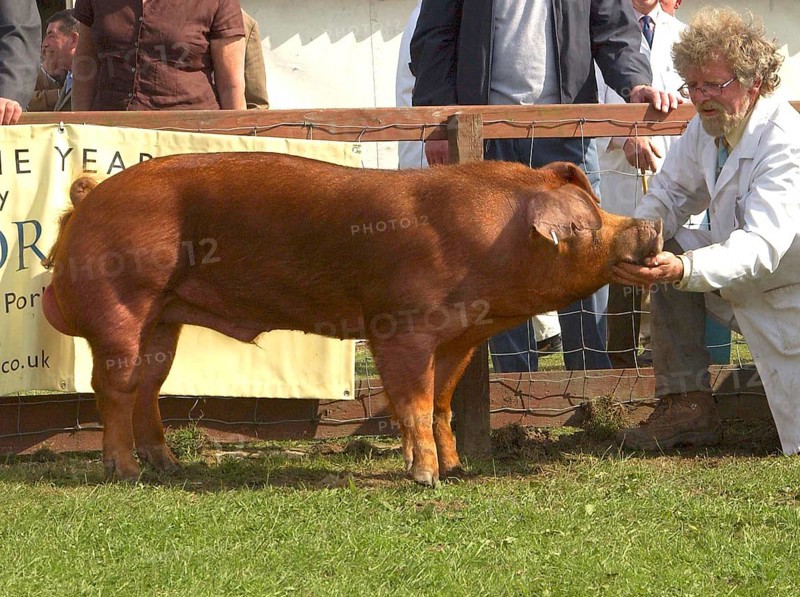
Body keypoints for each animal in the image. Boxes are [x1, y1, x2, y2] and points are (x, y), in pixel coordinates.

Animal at [42, 153, 662, 485]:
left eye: (599, 209)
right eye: (584, 226)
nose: (649, 225)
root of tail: (88, 198)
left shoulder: (459, 337)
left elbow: (442, 402)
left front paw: (456, 469)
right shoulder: (399, 325)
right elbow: (412, 402)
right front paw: (426, 478)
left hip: (164, 320)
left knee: (148, 384)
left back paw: (168, 466)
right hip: (122, 305)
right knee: (113, 387)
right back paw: (125, 472)